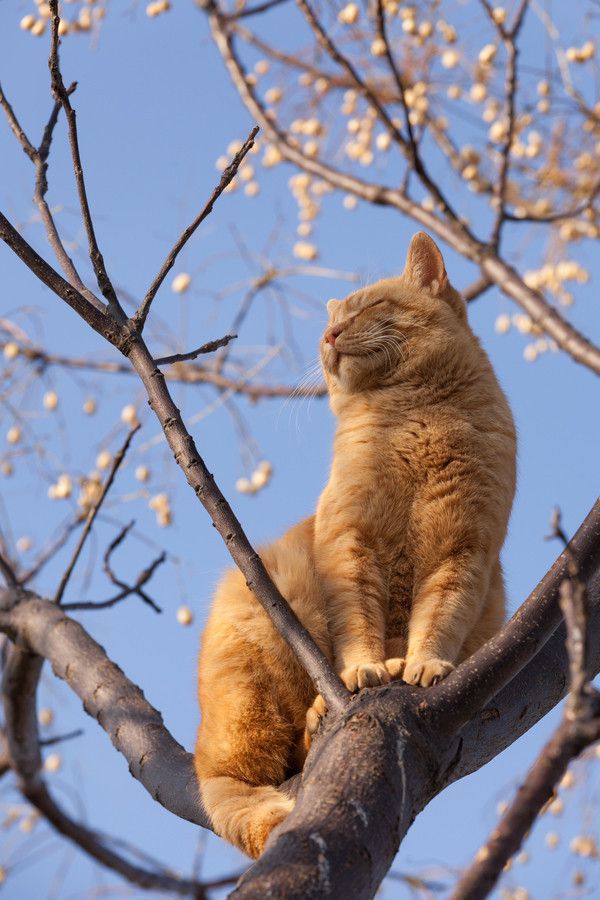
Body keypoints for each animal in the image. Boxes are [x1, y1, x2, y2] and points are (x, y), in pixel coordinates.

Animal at [195, 232, 516, 856]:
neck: (413, 420)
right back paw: (324, 709)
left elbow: (439, 617)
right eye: (332, 321)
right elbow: (358, 625)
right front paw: (364, 670)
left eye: (366, 308)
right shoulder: (352, 545)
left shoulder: (463, 552)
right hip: (254, 664)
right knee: (260, 766)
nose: (329, 336)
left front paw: (422, 664)